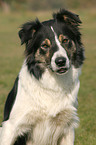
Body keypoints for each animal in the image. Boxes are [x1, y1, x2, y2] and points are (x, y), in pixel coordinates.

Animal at [0, 9, 84, 145]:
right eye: (44, 45)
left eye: (65, 40)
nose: (60, 61)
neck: (53, 83)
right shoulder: (10, 126)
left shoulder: (67, 126)